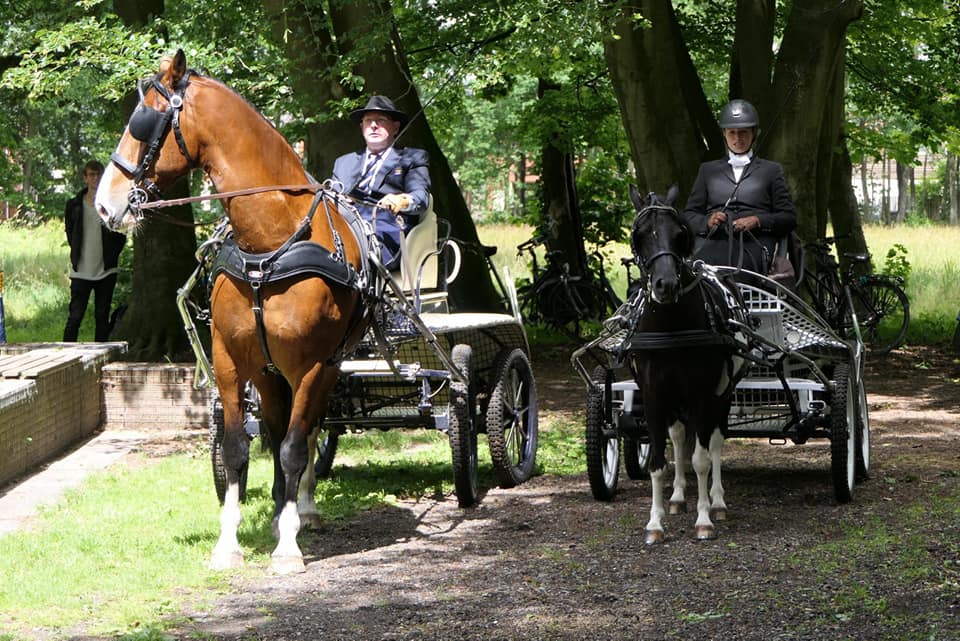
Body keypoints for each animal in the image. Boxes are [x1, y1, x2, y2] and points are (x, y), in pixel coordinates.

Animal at [94, 48, 364, 568]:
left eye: (143, 124)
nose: (103, 205)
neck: (271, 244)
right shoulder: (228, 357)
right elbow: (240, 448)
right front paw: (228, 543)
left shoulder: (312, 363)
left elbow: (297, 447)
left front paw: (287, 547)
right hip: (267, 369)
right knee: (276, 429)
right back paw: (281, 508)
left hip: (325, 366)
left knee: (307, 430)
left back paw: (301, 508)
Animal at [628, 182, 748, 544]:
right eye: (639, 234)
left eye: (679, 233)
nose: (665, 284)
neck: (672, 326)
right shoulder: (653, 395)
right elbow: (658, 462)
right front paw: (655, 523)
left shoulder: (701, 394)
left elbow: (702, 459)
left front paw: (704, 518)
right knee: (680, 437)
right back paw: (679, 497)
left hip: (722, 394)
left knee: (716, 441)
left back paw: (717, 501)